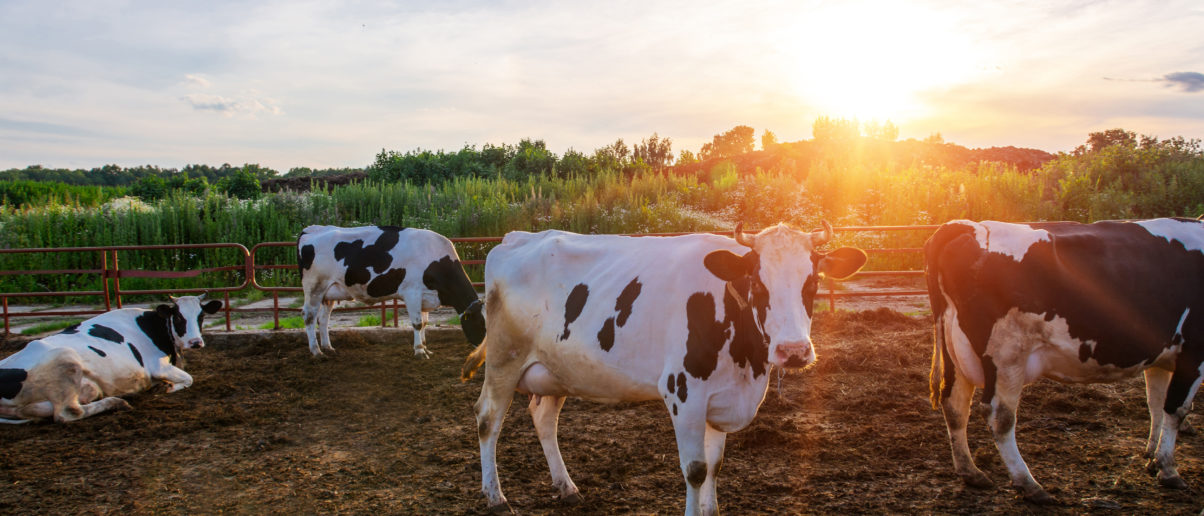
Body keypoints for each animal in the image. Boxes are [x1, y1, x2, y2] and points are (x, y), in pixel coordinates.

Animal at [0, 295, 223, 423]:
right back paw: (116, 402)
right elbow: (188, 378)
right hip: (66, 360)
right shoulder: (157, 367)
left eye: (201, 316)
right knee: (67, 413)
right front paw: (168, 388)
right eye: (177, 317)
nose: (195, 342)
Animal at [296, 225, 485, 358]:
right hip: (314, 287)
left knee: (323, 319)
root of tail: (312, 229)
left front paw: (426, 348)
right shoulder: (412, 292)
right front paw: (419, 351)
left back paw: (328, 347)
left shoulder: (425, 296)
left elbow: (424, 323)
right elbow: (417, 323)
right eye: (482, 324)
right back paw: (316, 351)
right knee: (309, 316)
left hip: (329, 292)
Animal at [461, 223, 867, 514]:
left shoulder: (720, 396)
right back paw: (495, 497)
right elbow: (696, 469)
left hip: (557, 369)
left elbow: (716, 465)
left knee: (543, 419)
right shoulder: (684, 393)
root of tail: (515, 238)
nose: (793, 351)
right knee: (488, 418)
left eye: (813, 281)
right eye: (757, 283)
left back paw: (567, 488)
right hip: (504, 357)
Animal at [925, 218, 1204, 503]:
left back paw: (971, 471)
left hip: (956, 351)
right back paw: (1029, 483)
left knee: (955, 405)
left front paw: (1152, 457)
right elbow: (1176, 408)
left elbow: (1156, 404)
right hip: (1007, 354)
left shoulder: (1160, 357)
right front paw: (1167, 468)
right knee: (999, 416)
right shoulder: (1194, 353)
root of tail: (970, 226)